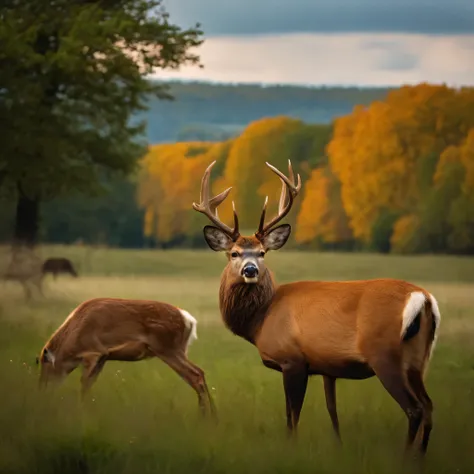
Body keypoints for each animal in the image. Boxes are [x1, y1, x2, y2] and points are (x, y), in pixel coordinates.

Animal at [36, 298, 216, 416]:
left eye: (44, 366)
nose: (41, 391)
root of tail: (189, 320)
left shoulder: (92, 353)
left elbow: (84, 384)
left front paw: (80, 410)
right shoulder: (103, 357)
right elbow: (90, 384)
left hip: (167, 348)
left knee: (195, 375)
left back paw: (204, 417)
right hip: (176, 350)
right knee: (199, 372)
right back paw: (213, 417)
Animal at [192, 159, 440, 456]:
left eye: (262, 253)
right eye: (234, 253)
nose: (250, 270)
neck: (262, 318)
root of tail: (423, 298)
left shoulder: (292, 359)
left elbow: (292, 414)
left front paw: (291, 447)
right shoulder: (326, 367)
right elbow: (332, 411)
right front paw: (338, 445)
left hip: (385, 354)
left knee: (414, 409)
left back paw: (404, 458)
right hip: (418, 359)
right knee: (429, 406)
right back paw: (420, 457)